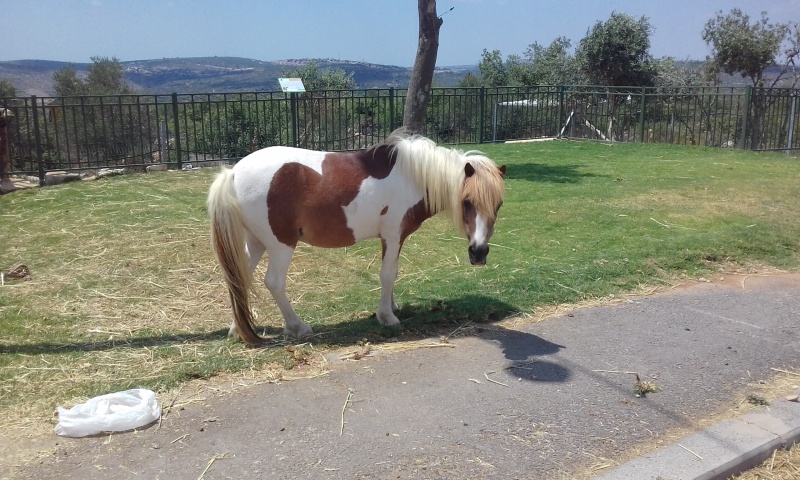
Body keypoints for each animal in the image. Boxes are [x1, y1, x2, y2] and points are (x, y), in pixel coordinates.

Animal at [206, 129, 506, 346]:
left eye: (499, 203)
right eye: (467, 202)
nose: (479, 253)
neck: (412, 176)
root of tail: (233, 173)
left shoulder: (391, 239)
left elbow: (391, 274)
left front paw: (391, 307)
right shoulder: (393, 235)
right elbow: (388, 274)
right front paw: (387, 317)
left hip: (256, 242)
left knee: (240, 277)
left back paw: (238, 328)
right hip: (281, 245)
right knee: (274, 283)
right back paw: (297, 327)